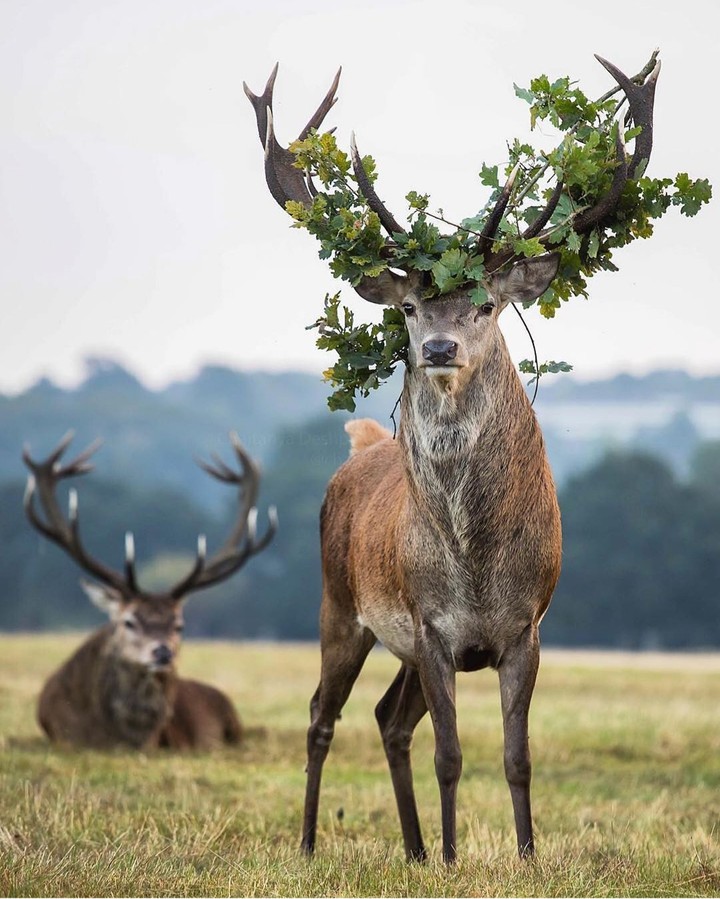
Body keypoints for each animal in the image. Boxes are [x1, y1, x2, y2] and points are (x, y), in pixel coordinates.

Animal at [245, 54, 659, 861]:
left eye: (486, 303)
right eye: (409, 308)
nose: (438, 347)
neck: (474, 560)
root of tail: (361, 447)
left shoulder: (525, 628)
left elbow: (516, 755)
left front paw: (524, 855)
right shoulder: (431, 625)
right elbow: (451, 753)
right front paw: (451, 855)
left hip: (395, 642)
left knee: (386, 718)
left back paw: (407, 848)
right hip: (340, 604)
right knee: (321, 715)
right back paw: (310, 843)